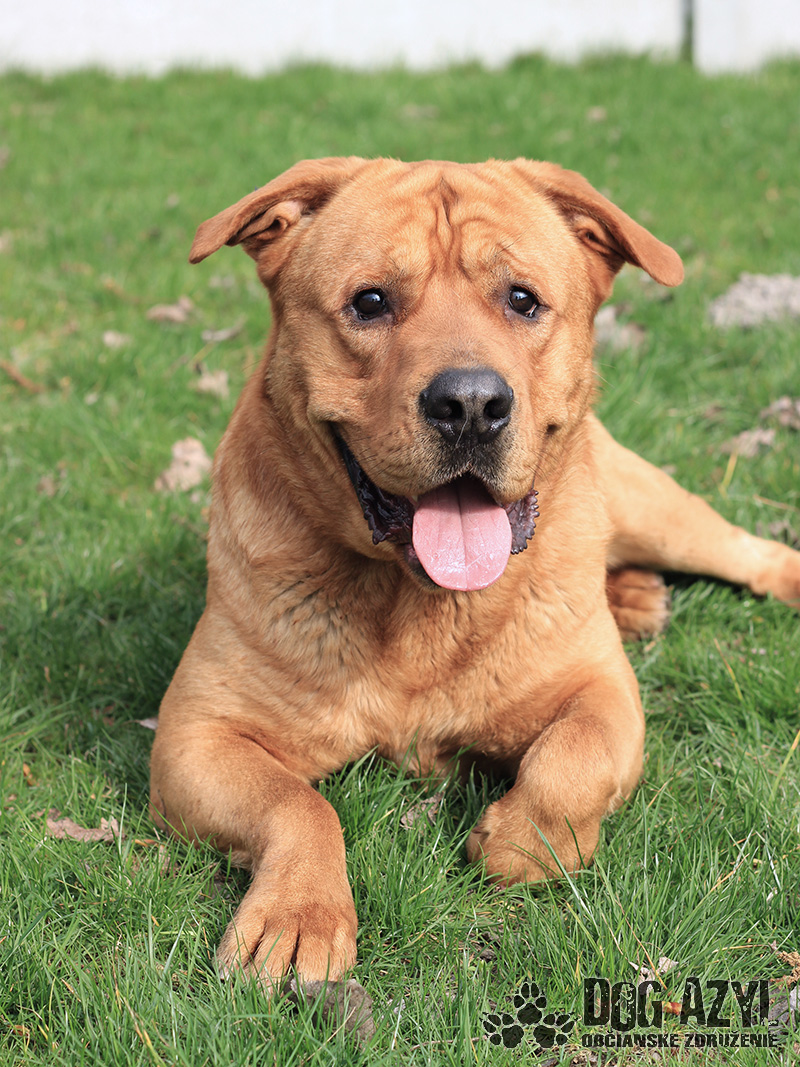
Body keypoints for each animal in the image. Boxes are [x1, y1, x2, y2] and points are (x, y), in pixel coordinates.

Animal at [150, 157, 800, 989]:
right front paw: (299, 913)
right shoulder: (195, 736)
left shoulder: (605, 693)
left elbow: (575, 755)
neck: (421, 604)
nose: (469, 402)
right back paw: (631, 596)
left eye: (522, 299)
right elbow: (296, 802)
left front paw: (526, 838)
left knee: (746, 551)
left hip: (660, 511)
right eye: (370, 301)